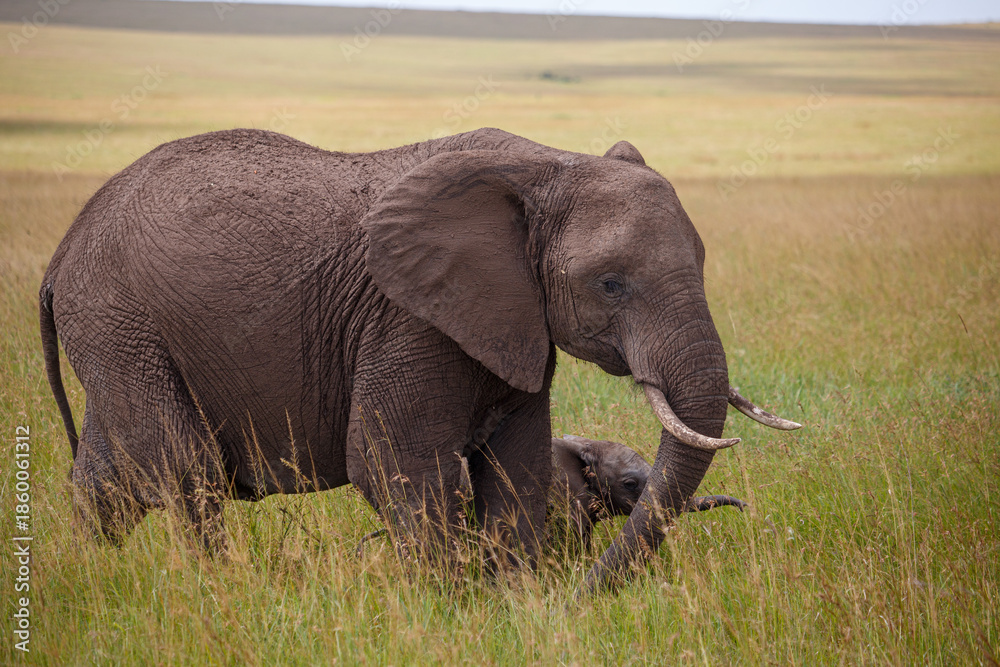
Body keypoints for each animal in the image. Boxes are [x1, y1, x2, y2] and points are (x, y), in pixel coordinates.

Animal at [39, 127, 799, 590]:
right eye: (611, 284)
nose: (583, 594)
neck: (546, 164)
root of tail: (61, 251)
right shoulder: (407, 315)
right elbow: (393, 459)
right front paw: (453, 607)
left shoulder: (510, 318)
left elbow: (517, 466)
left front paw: (516, 601)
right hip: (119, 320)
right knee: (184, 467)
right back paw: (222, 588)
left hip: (115, 332)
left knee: (108, 476)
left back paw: (88, 576)